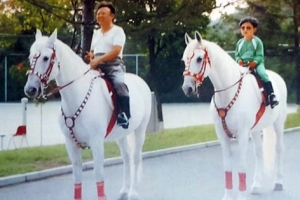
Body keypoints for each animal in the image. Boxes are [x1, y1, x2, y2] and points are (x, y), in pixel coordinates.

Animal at [23, 29, 151, 200]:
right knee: (126, 157)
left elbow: (99, 176)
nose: (30, 89)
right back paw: (124, 190)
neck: (77, 95)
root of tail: (141, 82)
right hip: (122, 135)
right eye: (30, 57)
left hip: (140, 130)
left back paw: (133, 192)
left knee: (136, 158)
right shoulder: (70, 143)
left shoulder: (97, 142)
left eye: (45, 57)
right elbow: (77, 177)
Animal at [182, 31, 288, 200]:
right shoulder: (222, 135)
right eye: (184, 59)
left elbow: (241, 165)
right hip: (255, 130)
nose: (187, 88)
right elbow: (227, 166)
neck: (228, 92)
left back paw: (278, 182)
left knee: (279, 149)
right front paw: (228, 196)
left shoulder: (242, 134)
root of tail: (277, 77)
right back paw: (257, 185)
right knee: (259, 152)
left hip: (278, 124)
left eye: (199, 58)